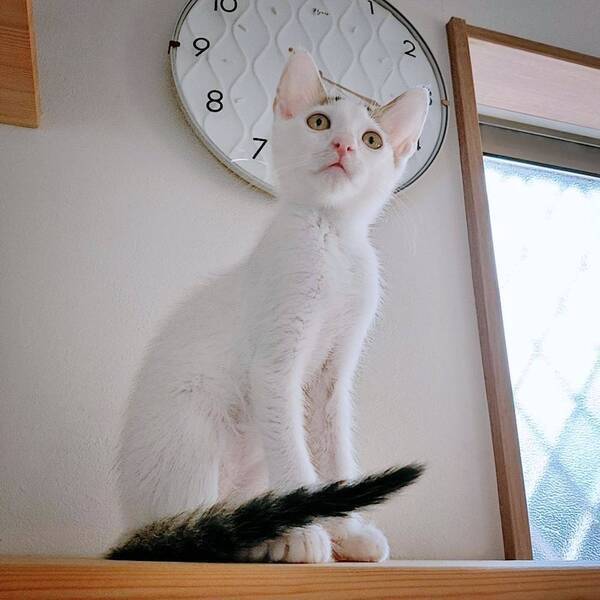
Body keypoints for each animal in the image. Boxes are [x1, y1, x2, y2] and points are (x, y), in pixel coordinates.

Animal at [111, 50, 429, 563]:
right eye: (319, 122)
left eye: (372, 139)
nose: (344, 146)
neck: (331, 239)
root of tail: (132, 527)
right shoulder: (274, 363)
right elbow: (294, 457)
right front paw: (309, 532)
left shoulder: (330, 378)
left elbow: (333, 455)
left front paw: (347, 531)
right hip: (193, 426)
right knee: (196, 537)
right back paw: (269, 538)